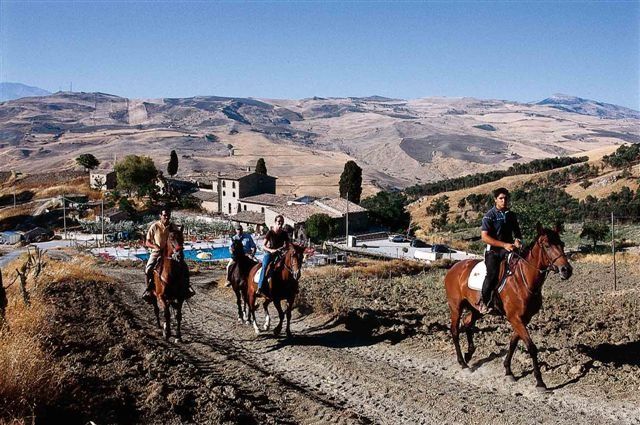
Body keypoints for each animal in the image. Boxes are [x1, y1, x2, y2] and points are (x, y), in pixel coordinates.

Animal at [444, 224, 576, 390]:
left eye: (562, 244)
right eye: (547, 245)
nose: (566, 270)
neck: (523, 279)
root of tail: (454, 268)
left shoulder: (523, 319)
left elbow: (513, 343)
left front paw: (508, 371)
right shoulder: (515, 318)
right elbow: (531, 347)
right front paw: (539, 381)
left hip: (476, 309)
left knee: (467, 323)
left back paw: (469, 354)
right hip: (456, 307)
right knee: (455, 330)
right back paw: (462, 362)